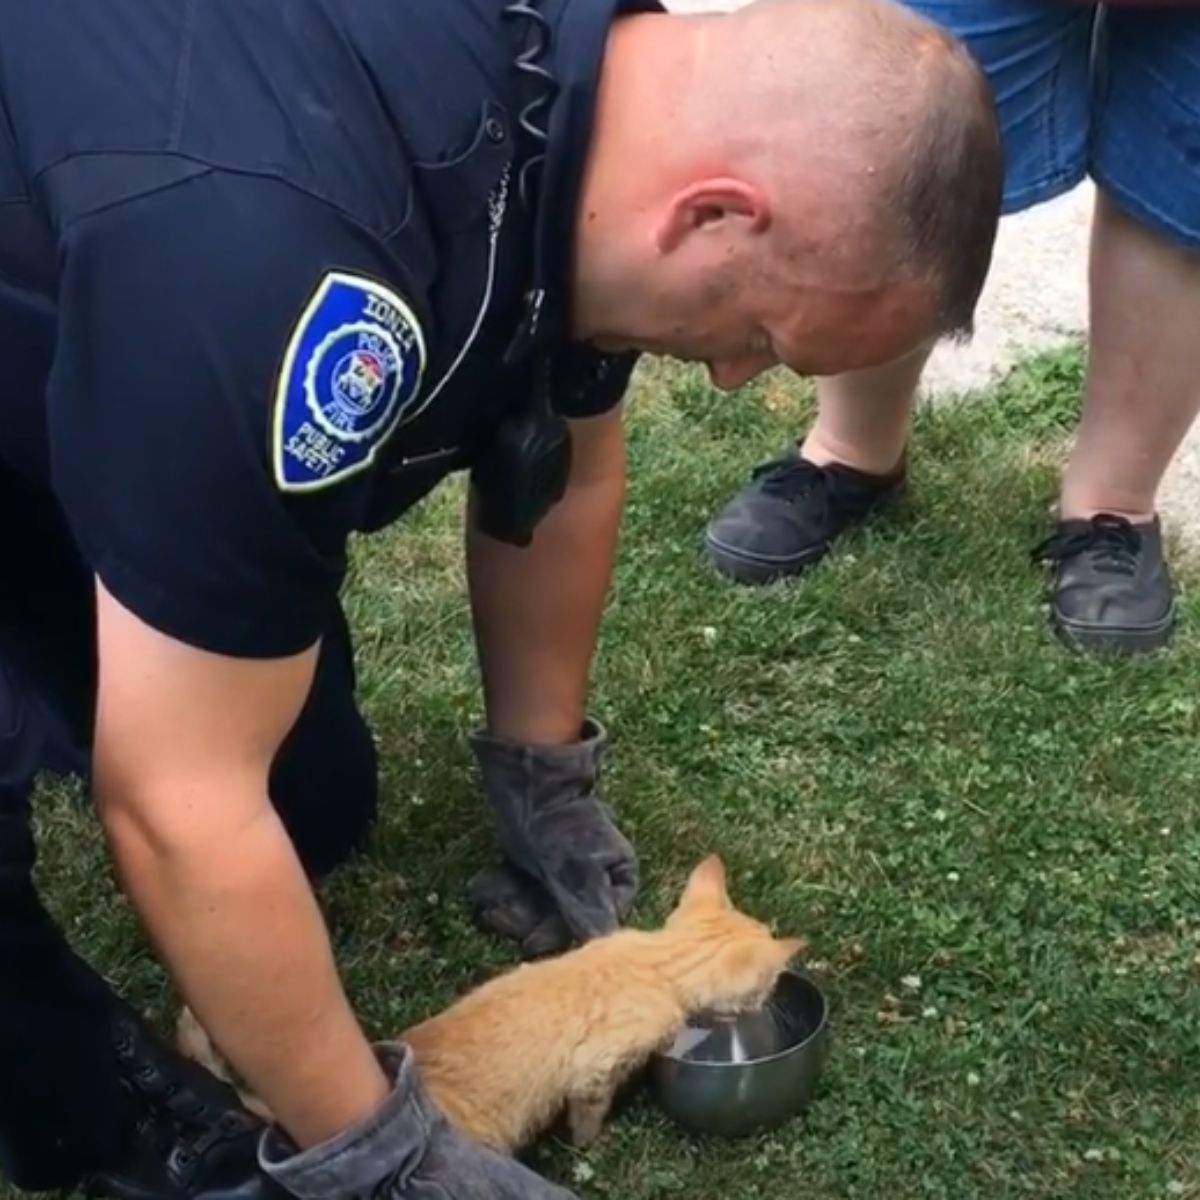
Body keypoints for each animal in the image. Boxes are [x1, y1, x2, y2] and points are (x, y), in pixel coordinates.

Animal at [177, 854, 806, 1152]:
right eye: (770, 985)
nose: (775, 1002)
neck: (656, 961)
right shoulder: (594, 1068)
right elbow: (588, 1112)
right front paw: (592, 1142)